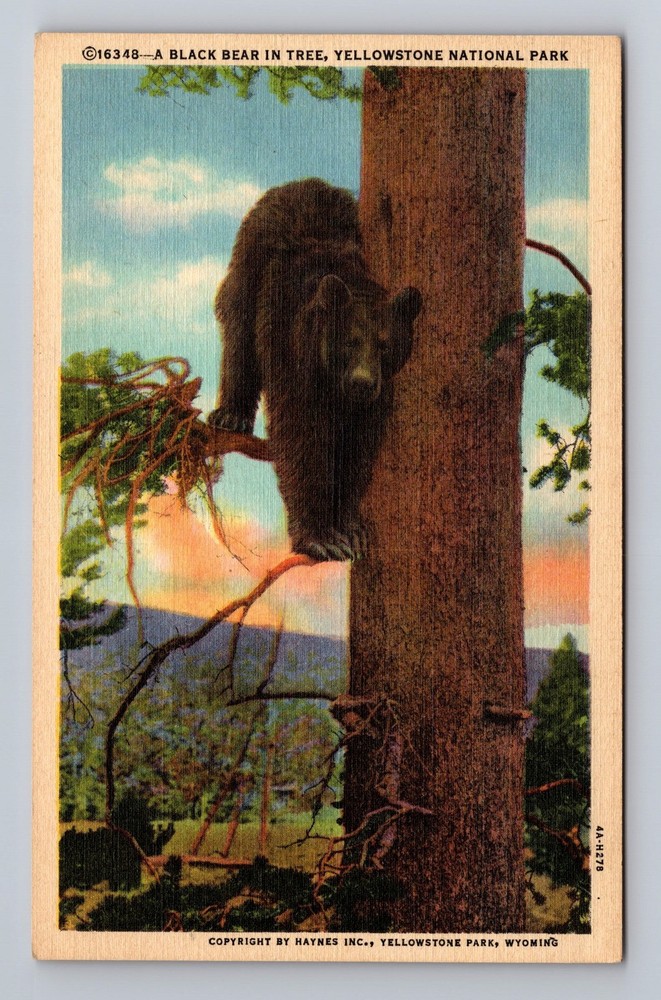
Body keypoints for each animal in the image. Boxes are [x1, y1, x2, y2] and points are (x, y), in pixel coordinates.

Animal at [208, 178, 422, 561]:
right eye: (350, 341)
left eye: (385, 345)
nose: (362, 383)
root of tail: (301, 182)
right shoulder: (292, 355)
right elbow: (301, 436)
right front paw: (321, 537)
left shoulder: (379, 395)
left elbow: (359, 448)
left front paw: (352, 528)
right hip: (249, 263)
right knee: (238, 334)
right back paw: (230, 415)